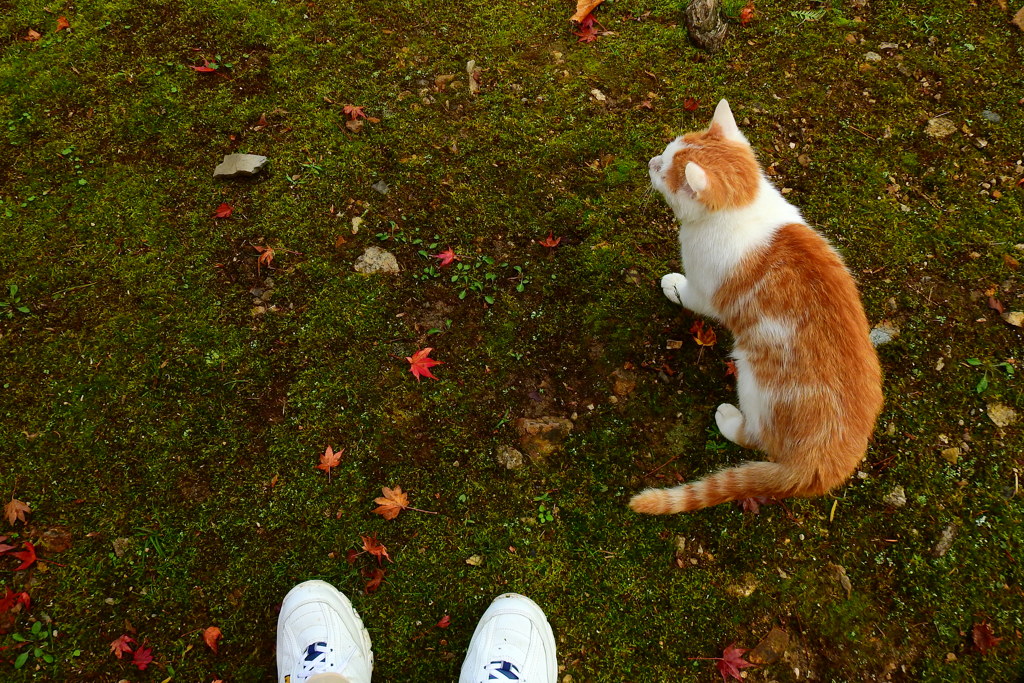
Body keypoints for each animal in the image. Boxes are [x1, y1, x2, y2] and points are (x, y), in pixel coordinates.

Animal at [626, 97, 884, 511]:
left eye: (664, 170)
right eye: (665, 152)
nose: (651, 161)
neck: (742, 206)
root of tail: (823, 465)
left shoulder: (706, 288)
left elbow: (689, 293)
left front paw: (673, 285)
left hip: (753, 379)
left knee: (756, 438)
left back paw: (730, 420)